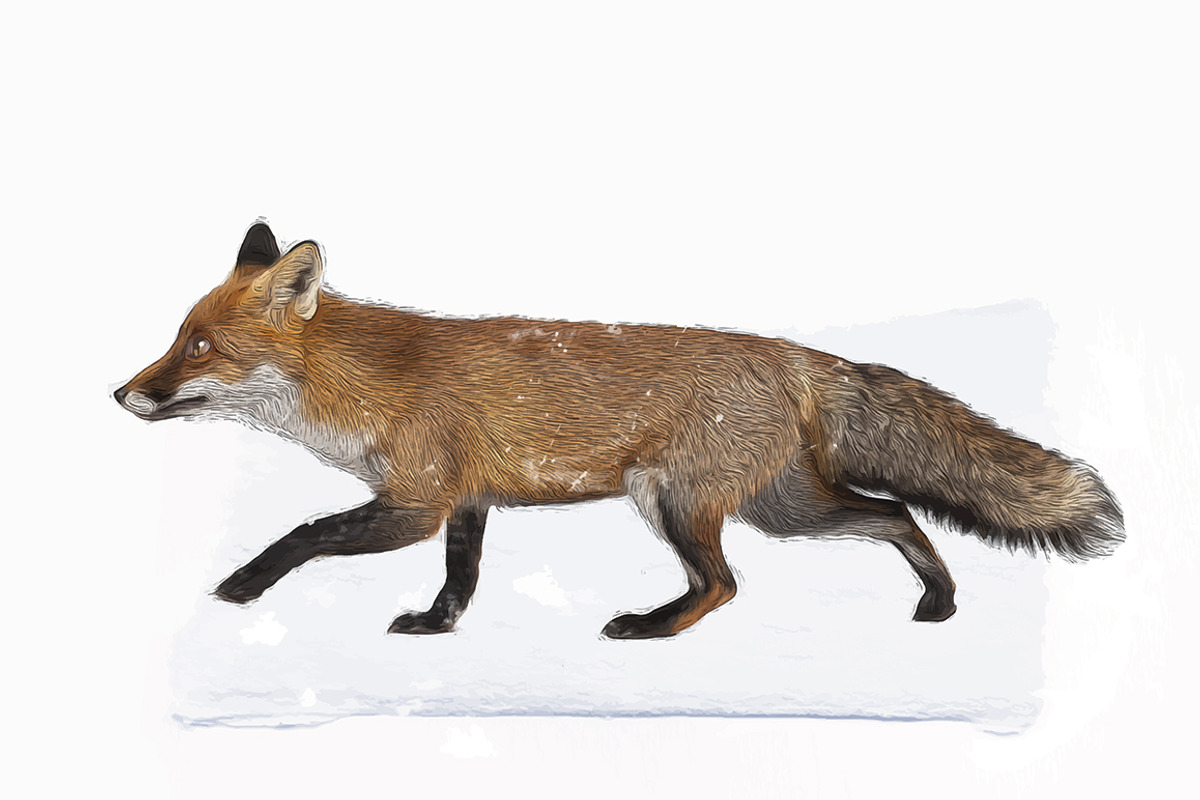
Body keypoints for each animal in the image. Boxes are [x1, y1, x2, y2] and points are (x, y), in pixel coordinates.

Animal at [114, 223, 1123, 639]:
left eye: (198, 346)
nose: (121, 393)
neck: (362, 380)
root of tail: (797, 355)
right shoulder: (469, 502)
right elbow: (461, 578)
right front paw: (437, 627)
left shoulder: (414, 502)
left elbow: (303, 535)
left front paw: (239, 588)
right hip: (786, 508)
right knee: (896, 515)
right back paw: (939, 603)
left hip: (675, 500)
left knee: (725, 584)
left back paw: (652, 628)